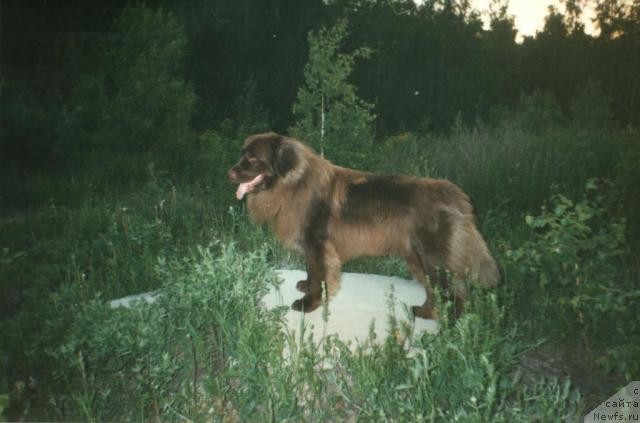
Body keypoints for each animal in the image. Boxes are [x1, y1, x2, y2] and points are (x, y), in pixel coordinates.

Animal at [230, 132, 500, 318]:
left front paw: (310, 303)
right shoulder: (313, 247)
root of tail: (457, 197)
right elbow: (311, 270)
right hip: (418, 258)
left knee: (453, 294)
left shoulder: (317, 244)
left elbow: (319, 274)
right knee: (436, 291)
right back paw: (424, 312)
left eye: (252, 158)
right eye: (242, 154)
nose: (230, 173)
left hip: (434, 259)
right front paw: (306, 287)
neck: (292, 183)